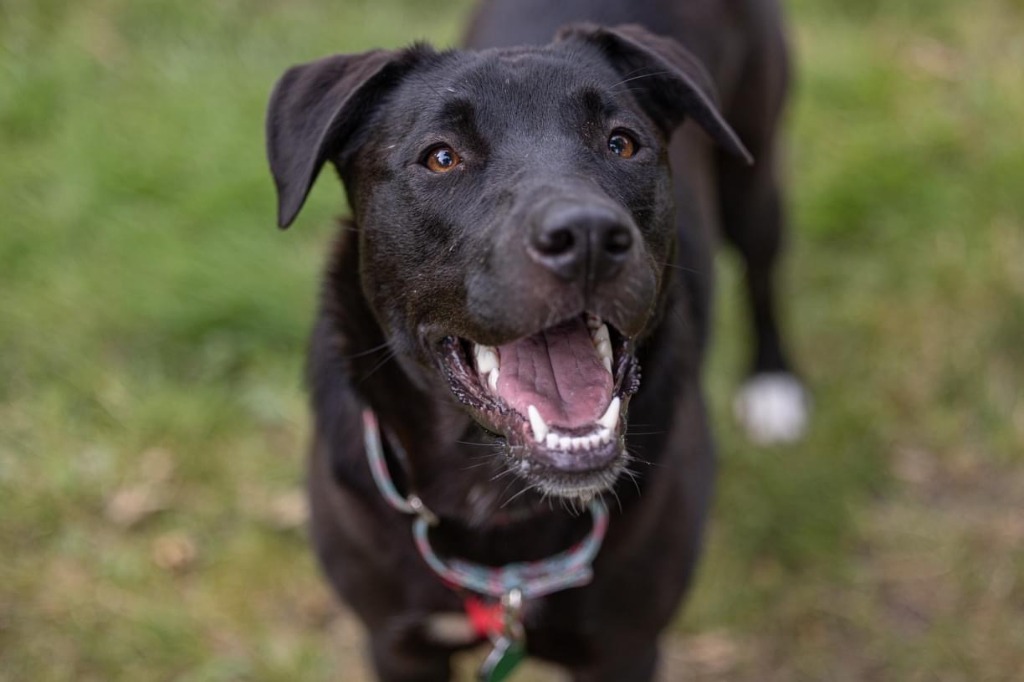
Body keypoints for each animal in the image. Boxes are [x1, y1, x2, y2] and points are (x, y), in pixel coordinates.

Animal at [262, 2, 798, 675]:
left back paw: (775, 384)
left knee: (763, 270)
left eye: (622, 143)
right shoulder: (397, 644)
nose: (588, 235)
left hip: (754, 164)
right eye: (441, 158)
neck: (497, 503)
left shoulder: (625, 645)